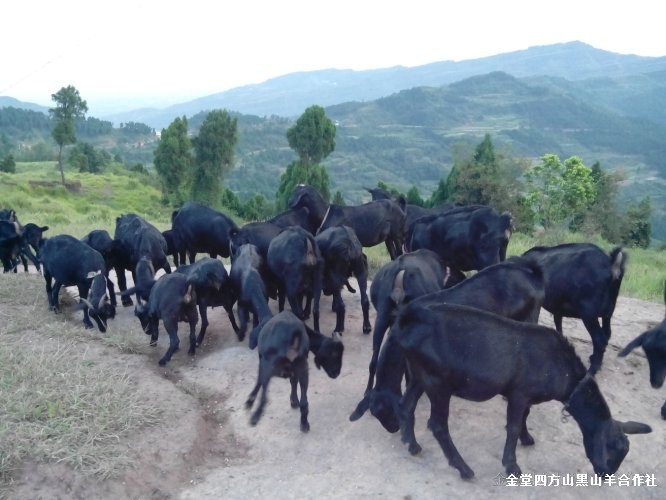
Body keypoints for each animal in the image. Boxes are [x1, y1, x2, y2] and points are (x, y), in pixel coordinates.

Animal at [390, 300, 648, 480]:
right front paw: (512, 465)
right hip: (438, 383)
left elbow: (525, 417)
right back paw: (464, 469)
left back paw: (411, 444)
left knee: (406, 405)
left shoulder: (526, 396)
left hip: (419, 375)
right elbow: (512, 427)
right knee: (438, 425)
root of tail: (411, 318)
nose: (606, 475)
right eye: (612, 450)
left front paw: (527, 438)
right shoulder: (519, 393)